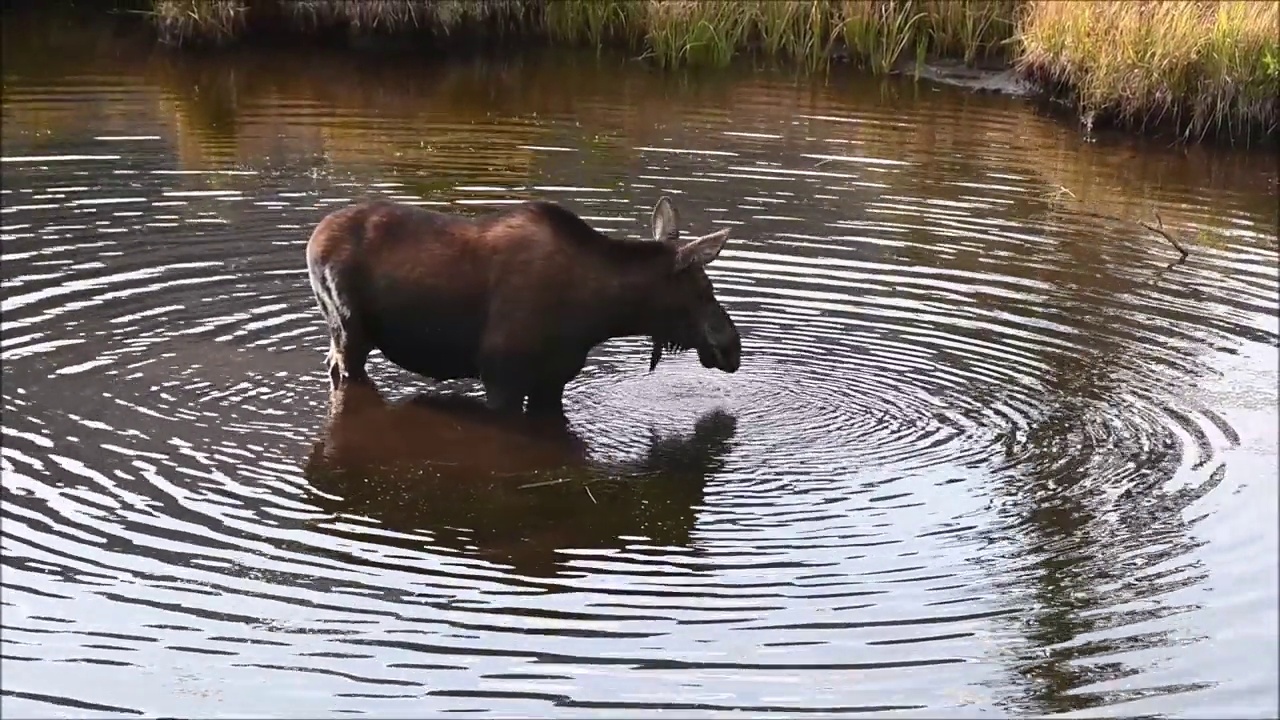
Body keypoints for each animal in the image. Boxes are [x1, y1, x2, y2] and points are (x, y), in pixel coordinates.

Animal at [304, 194, 742, 415]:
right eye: (704, 290)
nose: (731, 347)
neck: (600, 313)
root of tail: (313, 239)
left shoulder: (554, 380)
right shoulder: (501, 375)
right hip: (350, 329)